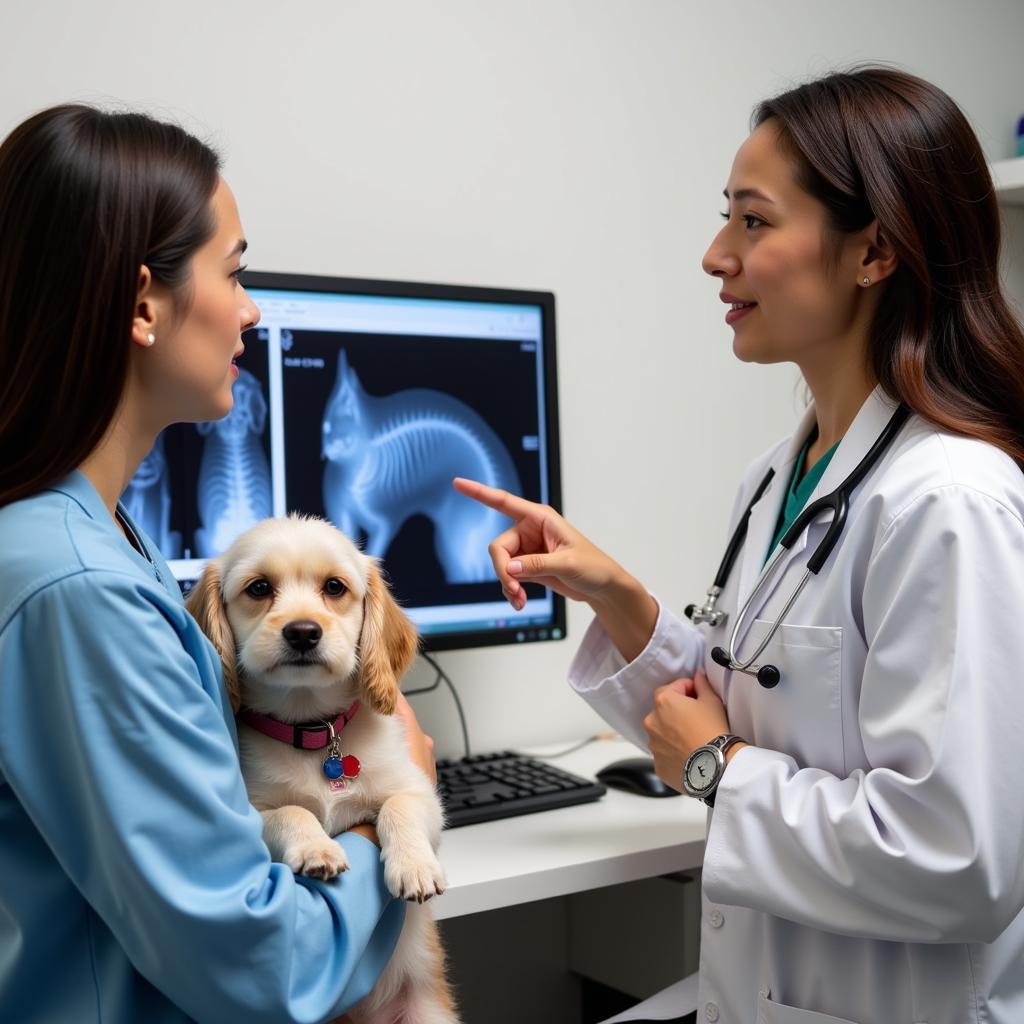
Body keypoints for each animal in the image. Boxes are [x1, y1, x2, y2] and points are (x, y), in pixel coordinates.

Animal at [187, 516, 456, 1024]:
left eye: (334, 587)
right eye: (259, 588)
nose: (303, 632)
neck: (313, 730)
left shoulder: (420, 791)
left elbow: (398, 808)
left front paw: (413, 866)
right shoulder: (253, 812)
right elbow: (293, 813)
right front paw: (318, 849)